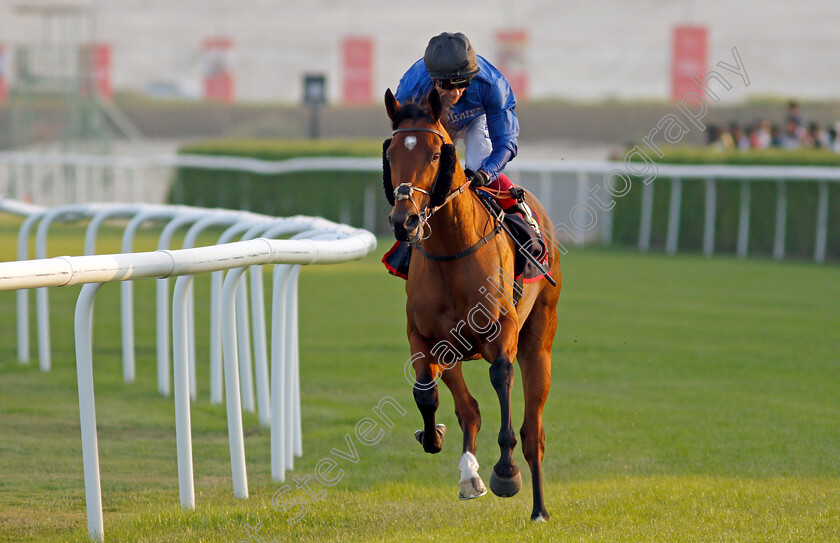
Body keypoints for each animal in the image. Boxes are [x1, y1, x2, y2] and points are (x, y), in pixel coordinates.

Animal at [384, 87, 560, 520]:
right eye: (391, 153)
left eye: (435, 154)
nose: (404, 221)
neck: (451, 251)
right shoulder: (425, 338)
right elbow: (426, 393)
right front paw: (433, 436)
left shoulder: (503, 333)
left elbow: (501, 376)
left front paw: (505, 472)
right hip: (454, 351)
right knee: (470, 410)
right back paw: (469, 475)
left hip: (539, 342)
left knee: (533, 432)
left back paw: (539, 508)